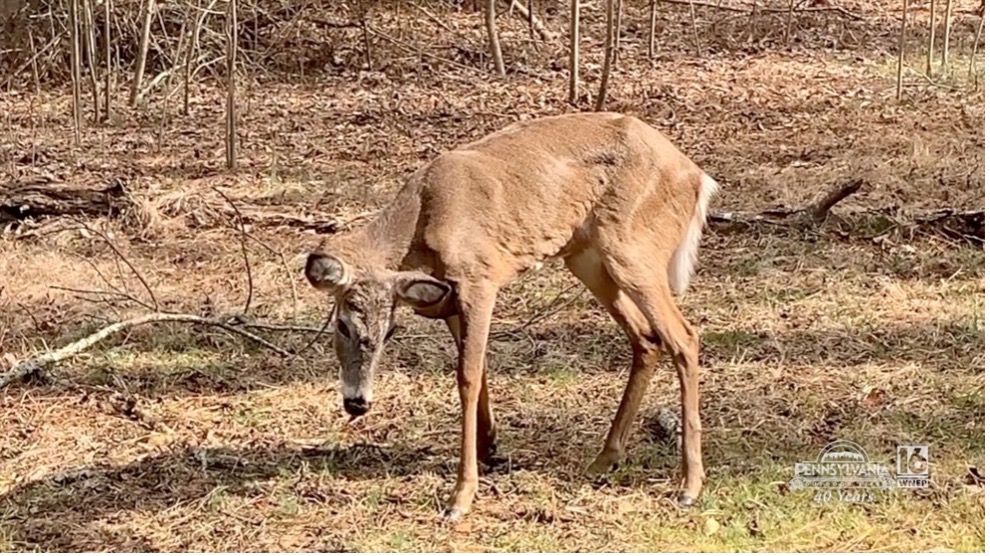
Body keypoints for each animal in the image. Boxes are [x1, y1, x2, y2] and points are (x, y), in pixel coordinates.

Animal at [304, 112, 719, 521]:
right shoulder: (450, 297)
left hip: (632, 251)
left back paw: (690, 485)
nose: (357, 403)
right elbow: (479, 367)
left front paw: (461, 496)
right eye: (344, 325)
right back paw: (604, 459)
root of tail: (698, 177)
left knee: (684, 337)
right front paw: (489, 447)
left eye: (387, 331)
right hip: (587, 259)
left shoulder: (478, 277)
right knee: (646, 337)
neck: (422, 223)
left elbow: (467, 376)